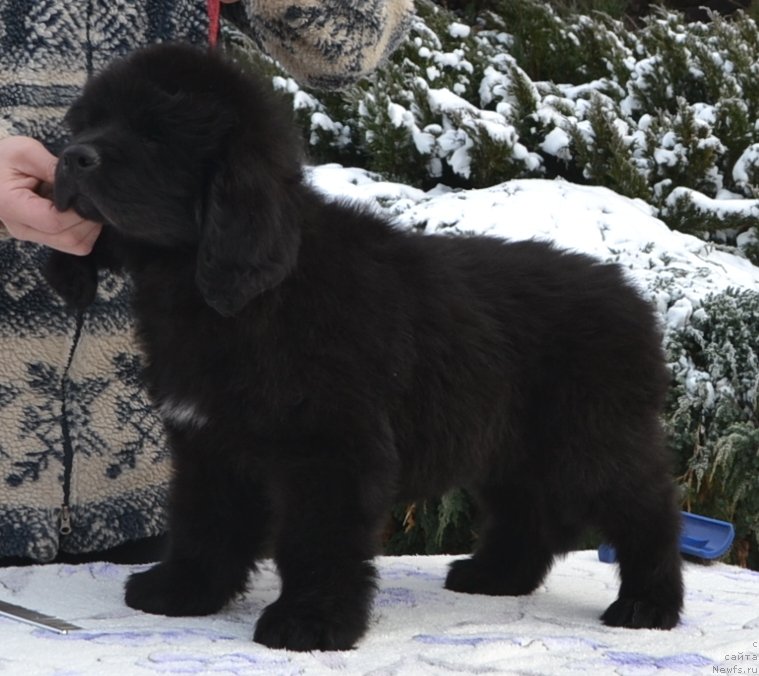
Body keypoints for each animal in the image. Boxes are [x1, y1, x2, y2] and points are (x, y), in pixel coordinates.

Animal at [44, 45, 684, 652]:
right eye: (89, 123)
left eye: (156, 133)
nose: (72, 158)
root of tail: (633, 295)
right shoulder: (208, 441)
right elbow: (205, 521)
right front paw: (183, 590)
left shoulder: (331, 447)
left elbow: (315, 540)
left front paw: (309, 622)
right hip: (509, 443)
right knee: (531, 514)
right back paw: (496, 577)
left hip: (590, 440)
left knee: (648, 509)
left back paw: (648, 604)